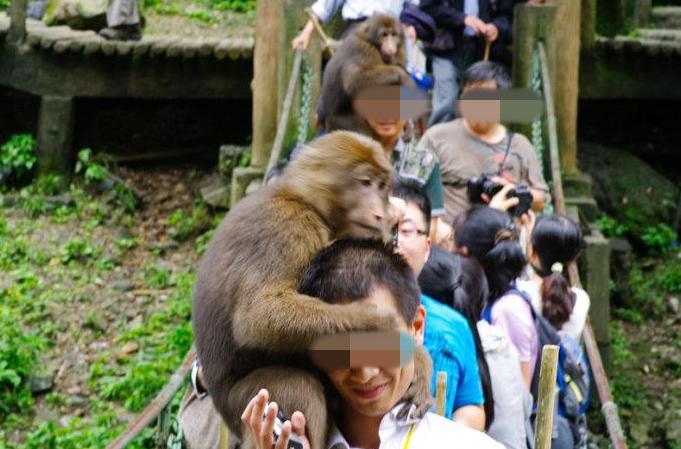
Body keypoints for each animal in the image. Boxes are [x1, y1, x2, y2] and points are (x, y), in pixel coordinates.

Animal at [193, 130, 430, 449]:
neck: (306, 200)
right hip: (241, 402)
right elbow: (258, 316)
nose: (382, 215)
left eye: (381, 185)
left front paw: (420, 363)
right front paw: (372, 323)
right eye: (364, 182)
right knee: (297, 383)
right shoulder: (290, 226)